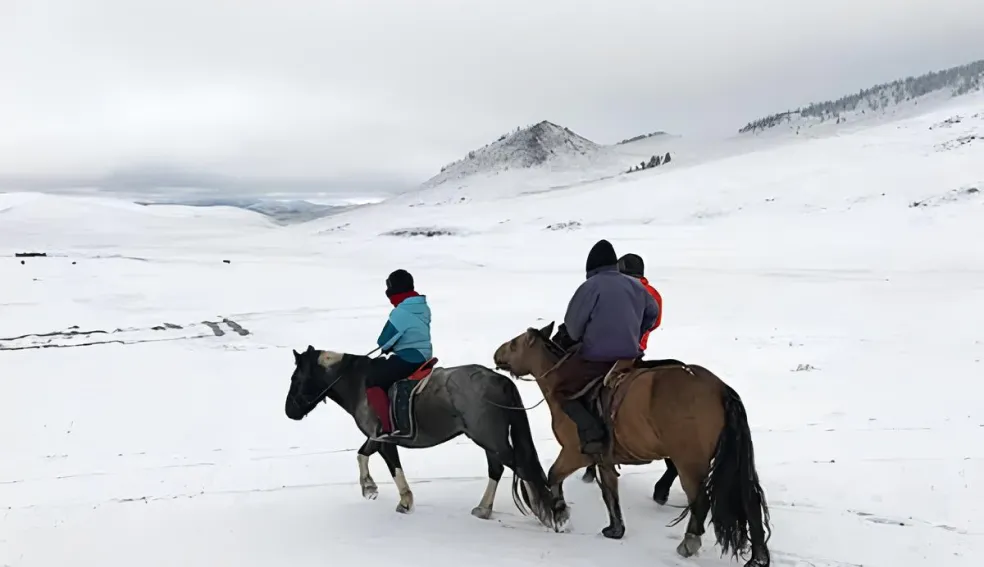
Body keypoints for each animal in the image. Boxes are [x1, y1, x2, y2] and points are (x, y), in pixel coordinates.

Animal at [284, 346, 568, 532]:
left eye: (296, 378)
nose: (289, 411)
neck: (359, 383)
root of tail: (499, 380)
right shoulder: (377, 437)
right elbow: (362, 454)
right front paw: (369, 488)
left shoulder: (385, 438)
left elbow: (392, 466)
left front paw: (404, 501)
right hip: (490, 439)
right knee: (497, 469)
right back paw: (484, 509)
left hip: (490, 439)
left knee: (521, 467)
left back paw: (550, 514)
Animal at [496, 322, 772, 567]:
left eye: (514, 344)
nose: (496, 353)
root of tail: (720, 389)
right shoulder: (603, 459)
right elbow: (610, 492)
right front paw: (615, 529)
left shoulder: (574, 453)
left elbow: (554, 475)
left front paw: (559, 513)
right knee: (750, 501)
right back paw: (758, 557)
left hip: (689, 462)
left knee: (701, 500)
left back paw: (689, 542)